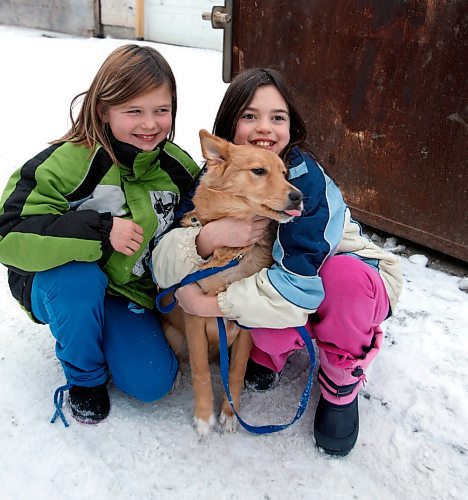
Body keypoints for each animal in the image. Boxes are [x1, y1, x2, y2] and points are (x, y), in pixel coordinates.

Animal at [162, 130, 304, 438]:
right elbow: (201, 371)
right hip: (174, 334)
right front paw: (205, 417)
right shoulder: (193, 320)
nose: (298, 197)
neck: (232, 253)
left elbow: (237, 372)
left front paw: (229, 414)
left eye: (285, 173)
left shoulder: (246, 326)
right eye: (259, 171)